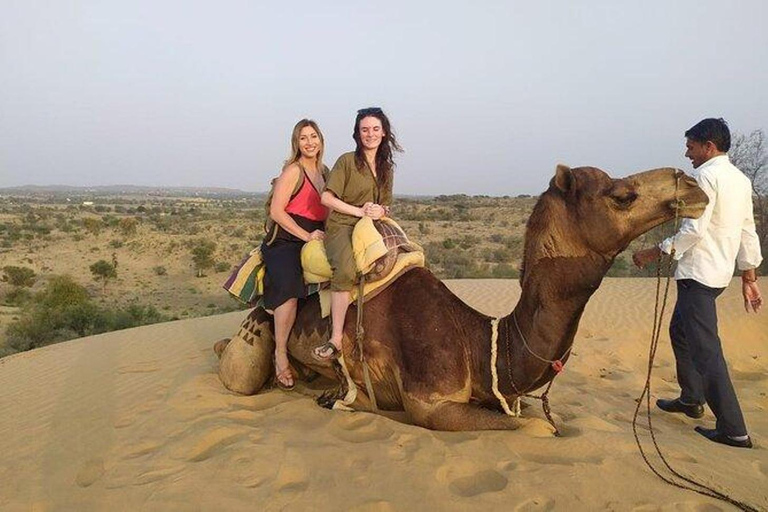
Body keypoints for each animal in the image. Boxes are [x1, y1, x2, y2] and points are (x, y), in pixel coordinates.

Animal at [213, 166, 704, 430]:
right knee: (239, 371)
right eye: (622, 196)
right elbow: (530, 428)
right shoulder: (431, 403)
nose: (693, 188)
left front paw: (339, 396)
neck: (480, 341)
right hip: (259, 324)